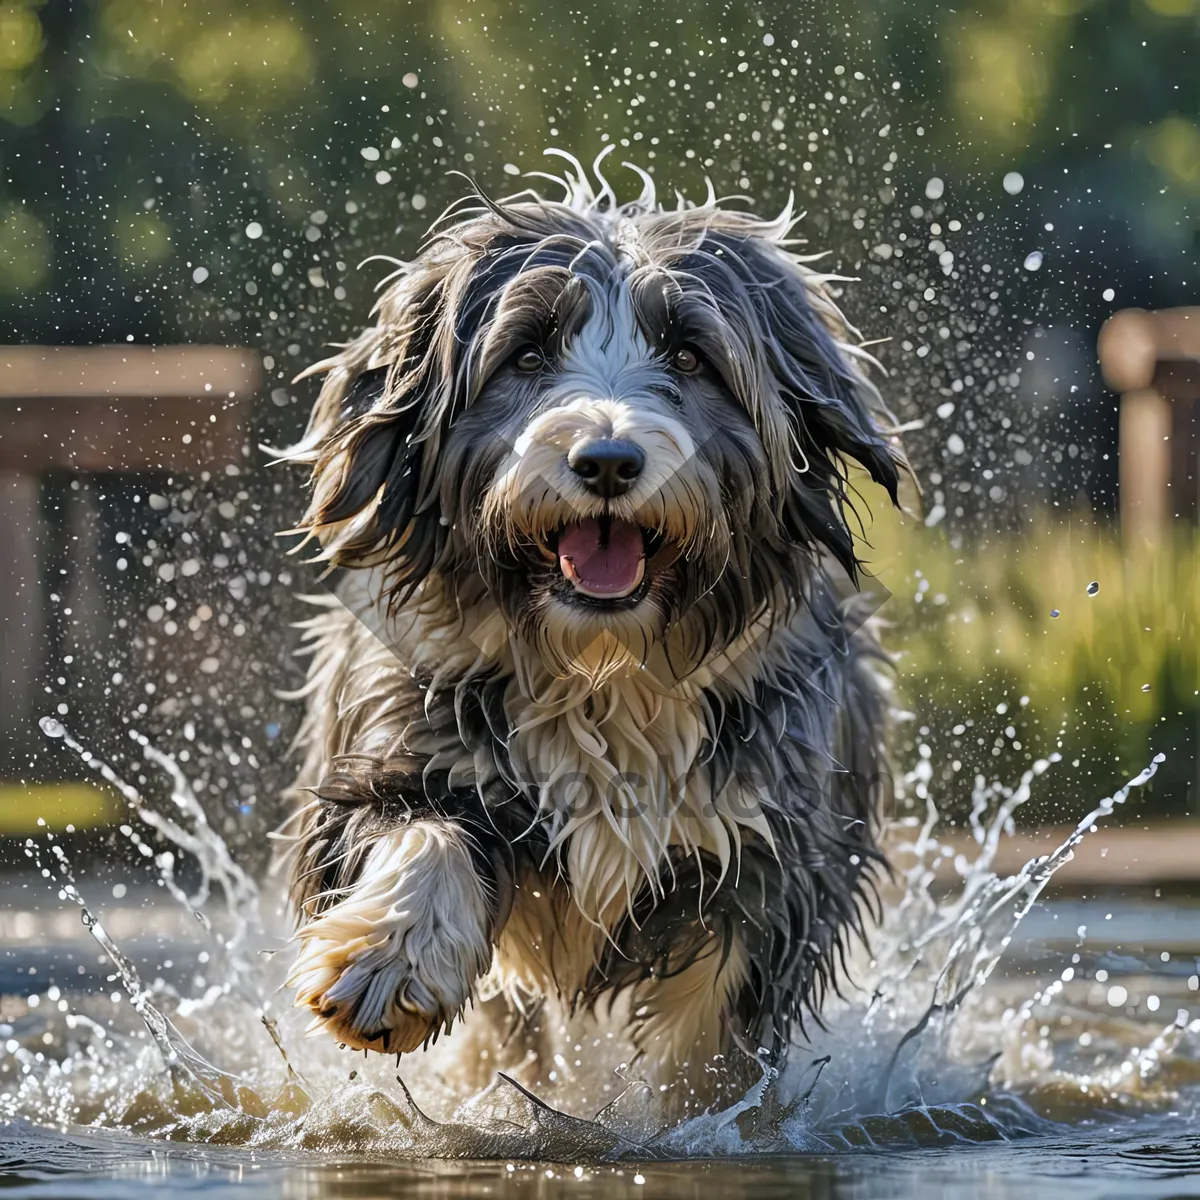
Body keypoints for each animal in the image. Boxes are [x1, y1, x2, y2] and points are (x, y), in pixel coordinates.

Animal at [278, 152, 902, 1104]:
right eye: (527, 351)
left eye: (690, 353)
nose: (607, 460)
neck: (603, 674)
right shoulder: (398, 746)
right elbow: (420, 831)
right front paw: (389, 955)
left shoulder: (768, 859)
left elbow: (709, 1040)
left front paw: (693, 1118)